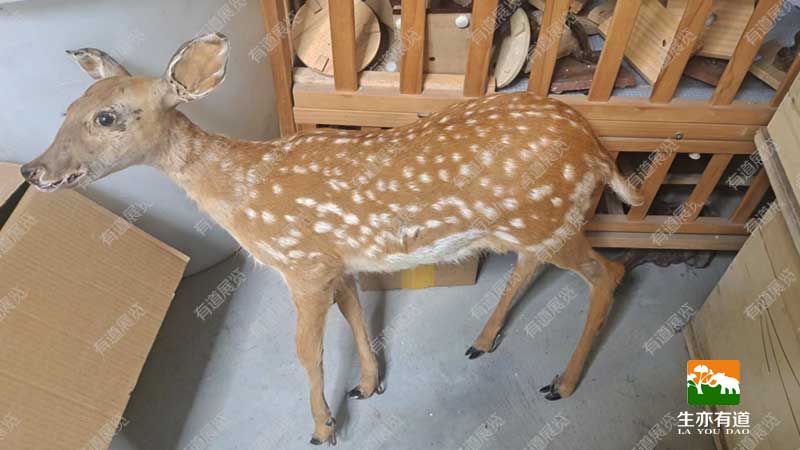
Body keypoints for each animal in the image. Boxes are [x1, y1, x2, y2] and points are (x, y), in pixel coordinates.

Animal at [21, 33, 642, 446]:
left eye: (106, 118)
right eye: (68, 108)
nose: (32, 170)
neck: (243, 190)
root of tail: (597, 149)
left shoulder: (303, 265)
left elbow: (307, 350)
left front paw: (323, 427)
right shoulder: (336, 261)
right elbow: (356, 316)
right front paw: (368, 386)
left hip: (549, 217)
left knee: (610, 273)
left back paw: (561, 383)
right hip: (534, 223)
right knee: (531, 266)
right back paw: (482, 341)